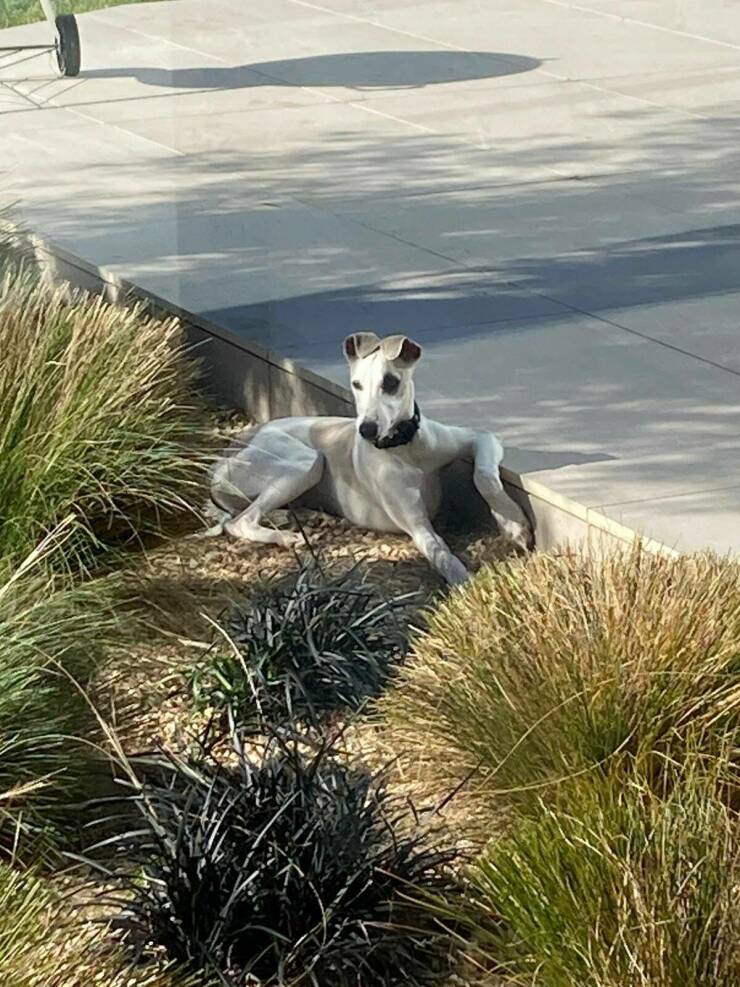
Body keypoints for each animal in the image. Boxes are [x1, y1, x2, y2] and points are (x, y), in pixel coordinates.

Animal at [208, 334, 532, 580]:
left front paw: (512, 522)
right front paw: (467, 585)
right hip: (305, 461)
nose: (366, 430)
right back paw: (287, 537)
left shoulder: (477, 438)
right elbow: (442, 555)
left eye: (390, 382)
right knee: (240, 522)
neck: (406, 447)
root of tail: (222, 457)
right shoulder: (416, 524)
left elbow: (485, 475)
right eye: (356, 384)